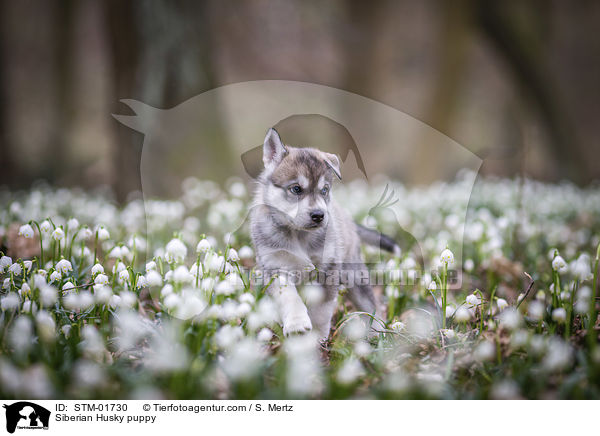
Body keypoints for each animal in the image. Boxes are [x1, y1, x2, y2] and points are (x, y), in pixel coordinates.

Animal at [248, 127, 398, 338]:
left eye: (324, 190)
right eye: (296, 189)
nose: (319, 215)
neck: (298, 234)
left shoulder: (329, 269)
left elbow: (321, 310)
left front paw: (317, 337)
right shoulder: (276, 268)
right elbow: (289, 298)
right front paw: (297, 324)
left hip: (354, 274)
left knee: (370, 305)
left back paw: (378, 332)